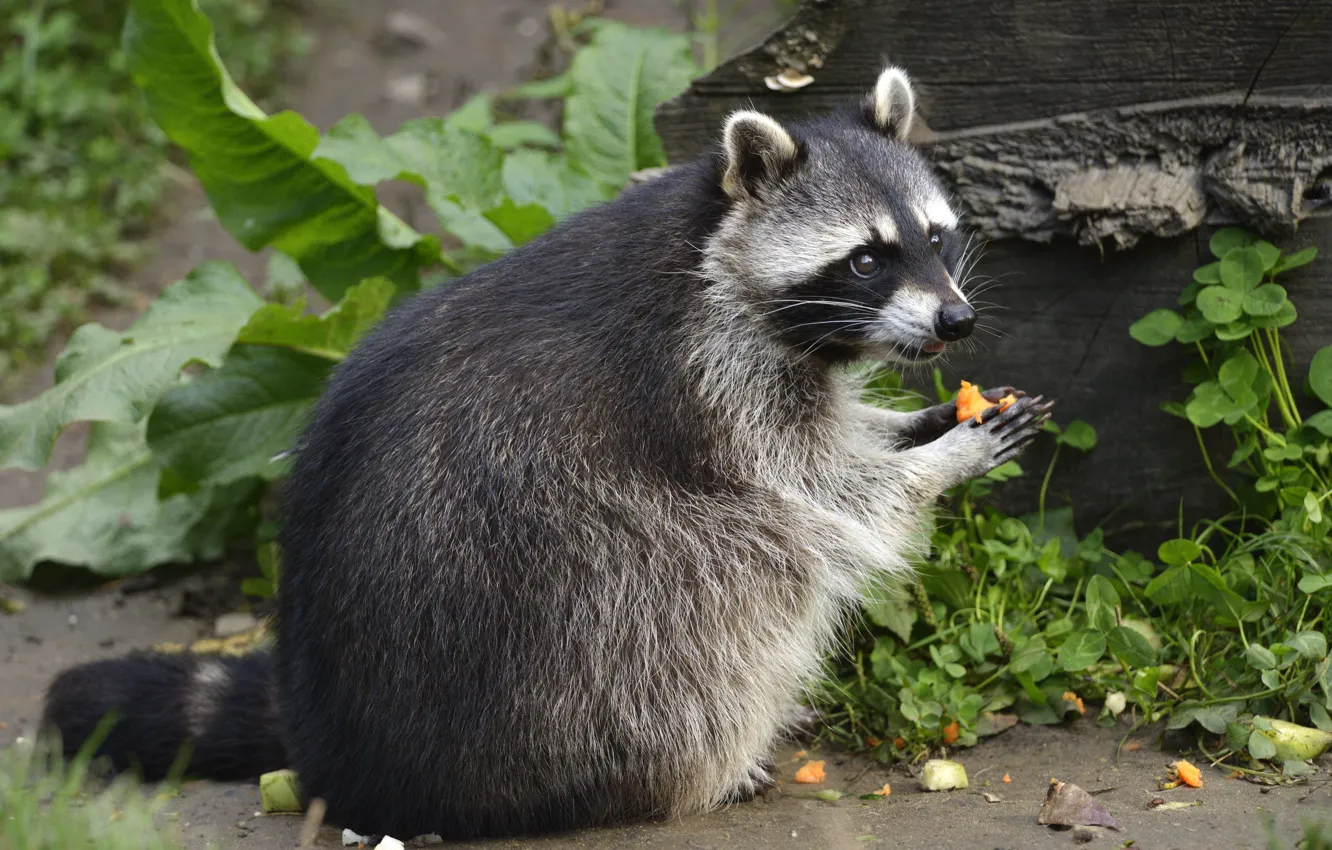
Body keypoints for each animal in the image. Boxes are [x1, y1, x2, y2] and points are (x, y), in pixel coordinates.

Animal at [42, 67, 1051, 839]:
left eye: (935, 235)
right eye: (866, 259)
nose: (956, 320)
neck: (712, 239)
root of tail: (341, 750)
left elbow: (840, 442)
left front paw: (916, 425)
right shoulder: (707, 381)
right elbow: (818, 489)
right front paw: (935, 461)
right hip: (562, 617)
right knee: (714, 583)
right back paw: (703, 763)